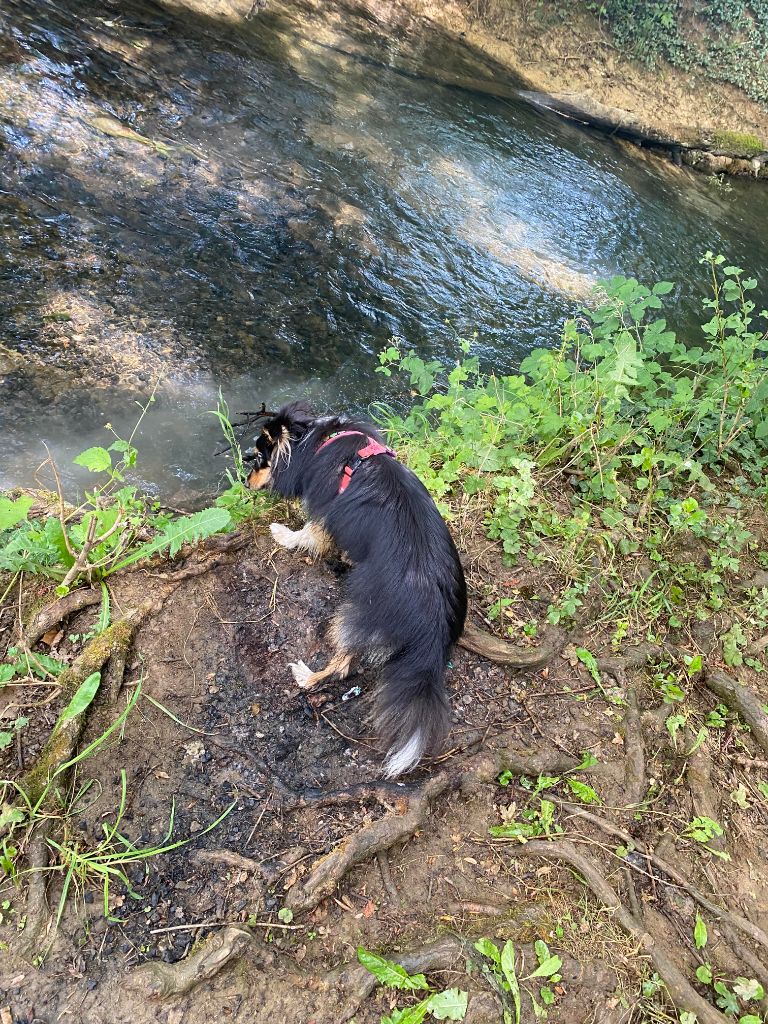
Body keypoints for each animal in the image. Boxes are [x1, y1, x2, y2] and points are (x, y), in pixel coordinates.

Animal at [244, 399, 468, 774]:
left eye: (261, 457)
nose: (246, 483)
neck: (316, 441)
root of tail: (433, 627)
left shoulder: (324, 513)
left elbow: (308, 535)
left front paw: (284, 535)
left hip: (352, 614)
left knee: (342, 667)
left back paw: (307, 675)